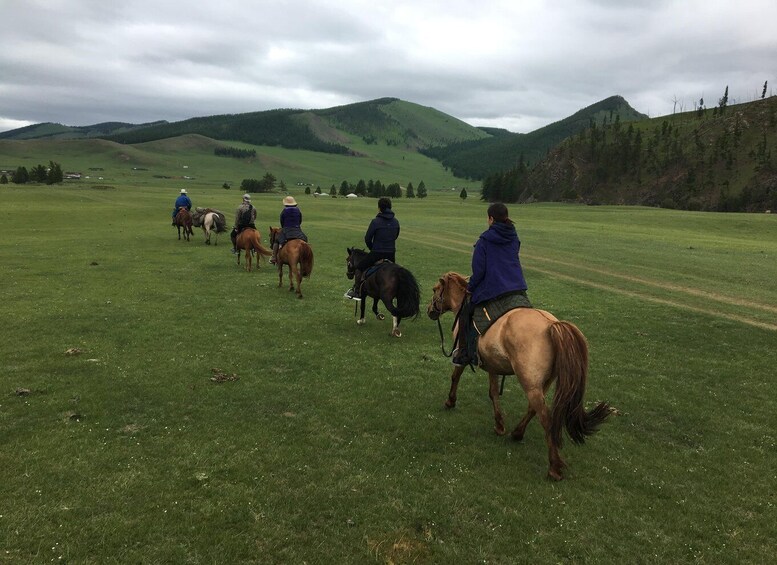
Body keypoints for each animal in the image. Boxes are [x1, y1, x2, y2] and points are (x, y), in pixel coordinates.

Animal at [428, 270, 608, 478]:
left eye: (435, 289)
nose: (430, 310)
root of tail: (551, 325)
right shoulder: (493, 365)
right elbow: (493, 392)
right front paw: (499, 425)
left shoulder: (462, 351)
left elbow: (455, 376)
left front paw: (450, 401)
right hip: (541, 382)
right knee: (533, 408)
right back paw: (517, 433)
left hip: (529, 382)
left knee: (545, 417)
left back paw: (554, 467)